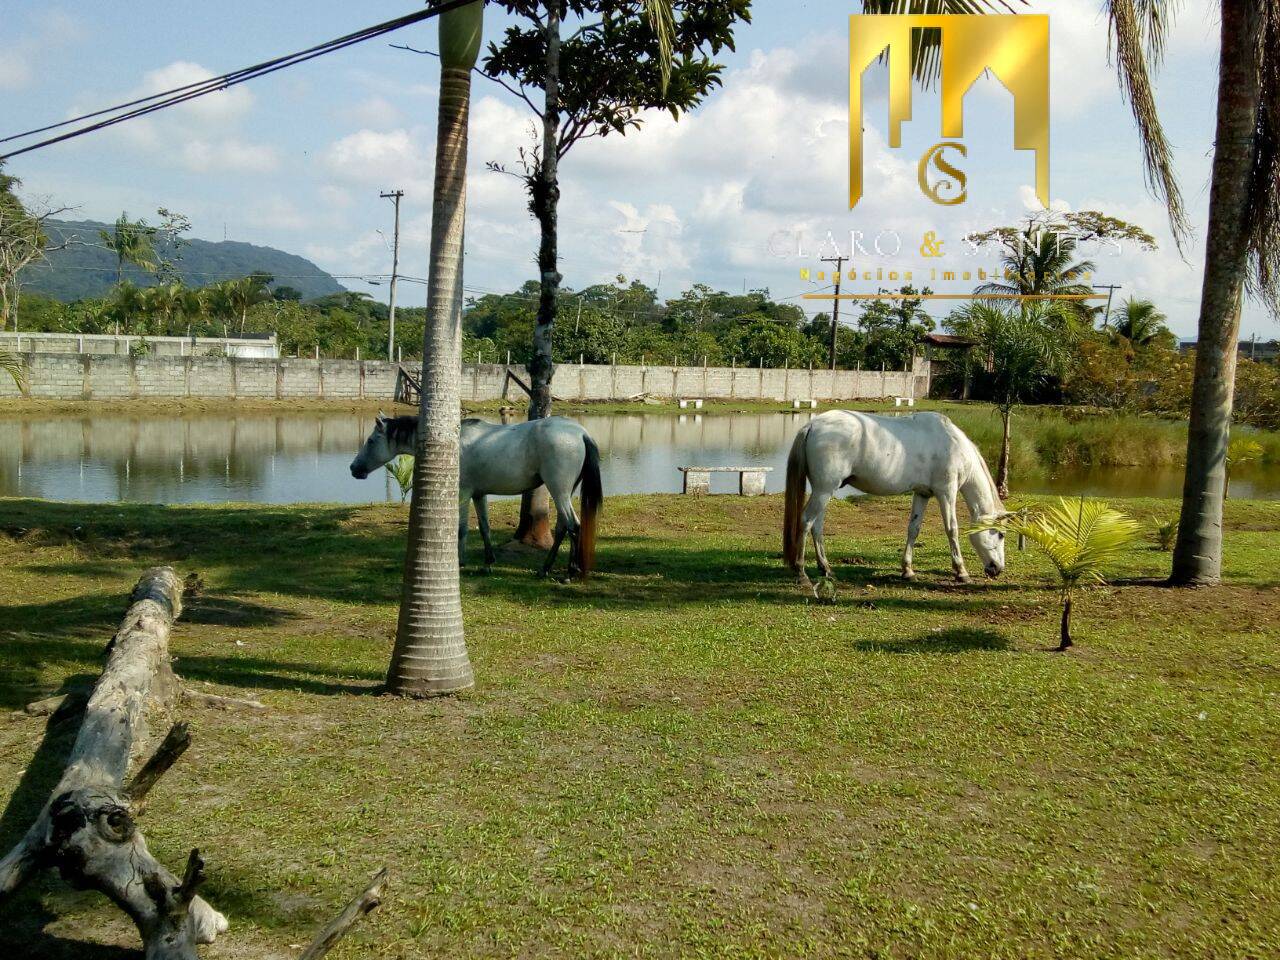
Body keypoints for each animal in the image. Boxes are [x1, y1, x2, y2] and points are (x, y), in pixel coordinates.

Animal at [348, 414, 601, 578]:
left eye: (371, 440)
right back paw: (546, 568)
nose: (353, 468)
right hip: (564, 492)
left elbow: (462, 529)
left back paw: (569, 572)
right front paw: (488, 563)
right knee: (563, 527)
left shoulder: (463, 492)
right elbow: (484, 527)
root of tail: (581, 433)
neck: (448, 446)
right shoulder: (479, 495)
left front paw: (460, 563)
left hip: (559, 491)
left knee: (573, 526)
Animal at [778, 412, 1008, 586]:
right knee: (806, 521)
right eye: (1000, 534)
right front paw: (961, 572)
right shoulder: (947, 493)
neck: (953, 444)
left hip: (824, 492)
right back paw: (801, 571)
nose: (998, 569)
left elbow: (913, 529)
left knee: (817, 526)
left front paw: (908, 570)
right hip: (823, 491)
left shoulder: (922, 494)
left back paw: (826, 568)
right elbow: (952, 529)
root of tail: (812, 425)